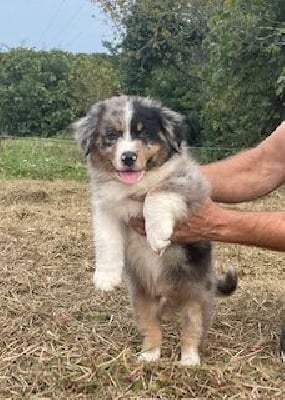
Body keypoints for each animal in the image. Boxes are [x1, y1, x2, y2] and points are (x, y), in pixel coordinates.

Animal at [73, 97, 235, 366]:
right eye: (111, 135)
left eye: (144, 133)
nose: (128, 157)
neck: (135, 184)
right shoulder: (105, 207)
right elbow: (106, 239)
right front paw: (105, 277)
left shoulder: (188, 185)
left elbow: (156, 194)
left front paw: (157, 234)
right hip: (143, 298)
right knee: (152, 328)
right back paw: (149, 355)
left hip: (196, 295)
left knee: (192, 329)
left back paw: (189, 360)